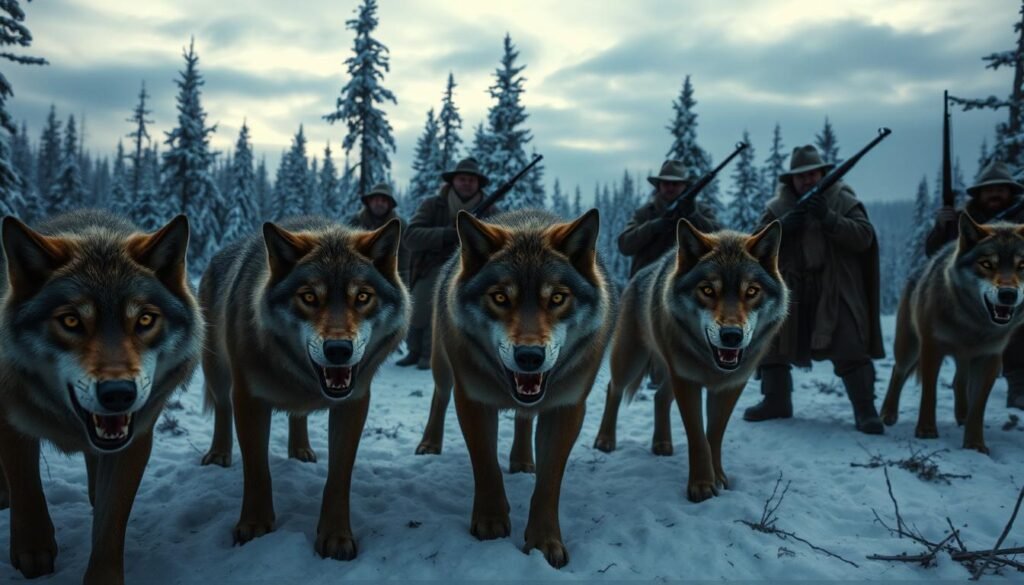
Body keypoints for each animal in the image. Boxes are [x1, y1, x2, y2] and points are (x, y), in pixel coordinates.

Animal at [0, 211, 202, 585]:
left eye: (145, 319)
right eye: (71, 321)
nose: (119, 394)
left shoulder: (135, 439)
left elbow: (110, 523)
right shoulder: (11, 418)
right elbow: (26, 487)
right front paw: (33, 550)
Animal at [199, 216, 408, 561]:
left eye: (362, 297)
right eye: (309, 297)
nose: (338, 350)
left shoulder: (353, 403)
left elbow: (338, 478)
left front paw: (336, 537)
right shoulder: (248, 399)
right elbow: (257, 471)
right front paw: (254, 526)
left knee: (298, 415)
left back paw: (300, 451)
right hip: (217, 373)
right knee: (221, 409)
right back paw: (218, 454)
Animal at [426, 208, 612, 568]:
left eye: (557, 298)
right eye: (500, 297)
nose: (529, 356)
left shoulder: (566, 409)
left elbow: (549, 483)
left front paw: (544, 543)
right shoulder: (472, 399)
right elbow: (485, 464)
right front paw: (490, 522)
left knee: (524, 418)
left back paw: (523, 461)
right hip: (441, 368)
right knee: (438, 397)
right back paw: (428, 444)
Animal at [592, 220, 787, 503]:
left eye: (751, 291)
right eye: (707, 290)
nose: (732, 336)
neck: (712, 366)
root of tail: (638, 275)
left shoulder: (730, 386)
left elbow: (713, 436)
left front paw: (719, 478)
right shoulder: (687, 380)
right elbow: (698, 437)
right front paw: (702, 486)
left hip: (669, 372)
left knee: (659, 398)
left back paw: (662, 444)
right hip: (630, 360)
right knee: (613, 389)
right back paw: (605, 441)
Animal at [881, 215, 1024, 454]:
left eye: (1022, 265)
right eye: (987, 264)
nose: (1008, 294)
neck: (972, 322)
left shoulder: (990, 358)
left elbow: (978, 407)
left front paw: (975, 444)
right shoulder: (932, 348)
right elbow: (929, 395)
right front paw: (926, 430)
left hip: (966, 359)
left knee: (959, 382)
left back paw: (962, 416)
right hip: (909, 348)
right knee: (897, 371)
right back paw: (887, 414)